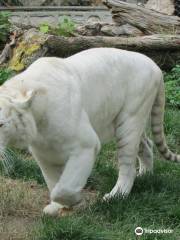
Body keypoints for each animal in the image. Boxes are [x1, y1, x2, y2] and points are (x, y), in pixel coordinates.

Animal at [0, 48, 179, 216]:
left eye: (1, 124)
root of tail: (156, 67)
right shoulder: (43, 152)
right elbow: (52, 181)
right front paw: (57, 207)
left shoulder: (85, 145)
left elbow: (64, 186)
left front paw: (75, 201)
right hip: (130, 122)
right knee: (147, 145)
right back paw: (145, 176)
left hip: (130, 120)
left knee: (127, 166)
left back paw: (116, 196)